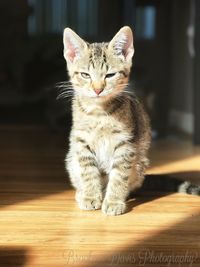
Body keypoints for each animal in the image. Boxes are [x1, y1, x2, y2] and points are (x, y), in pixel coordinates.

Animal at [63, 26, 151, 216]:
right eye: (85, 75)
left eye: (110, 75)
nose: (98, 89)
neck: (99, 113)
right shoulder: (82, 141)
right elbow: (88, 171)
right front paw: (90, 196)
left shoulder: (125, 144)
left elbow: (119, 175)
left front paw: (114, 201)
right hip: (71, 160)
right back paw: (82, 193)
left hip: (140, 164)